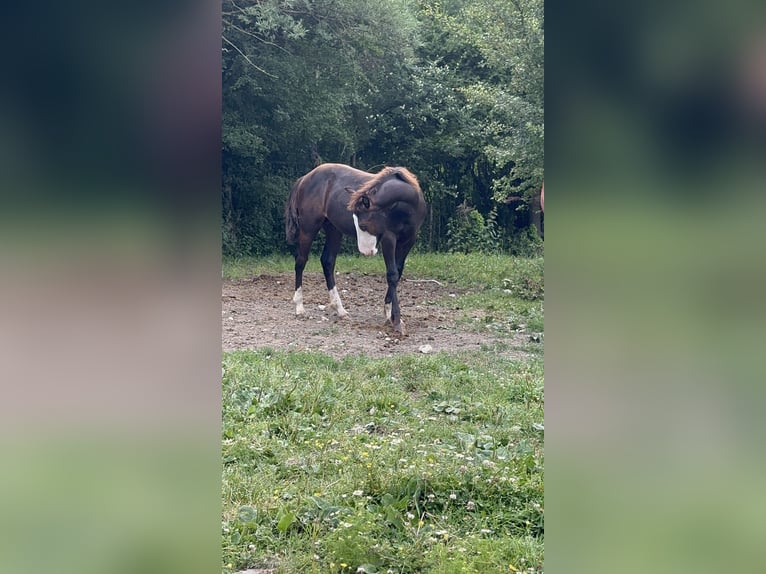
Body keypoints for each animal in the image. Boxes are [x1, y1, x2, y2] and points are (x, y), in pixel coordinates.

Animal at [284, 163, 427, 334]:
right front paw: (397, 321)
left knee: (327, 262)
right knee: (301, 261)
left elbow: (397, 273)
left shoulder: (408, 241)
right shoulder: (388, 238)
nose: (366, 251)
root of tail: (304, 179)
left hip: (333, 229)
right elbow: (392, 275)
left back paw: (340, 309)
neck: (405, 207)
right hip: (308, 229)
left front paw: (389, 315)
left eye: (363, 225)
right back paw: (299, 306)